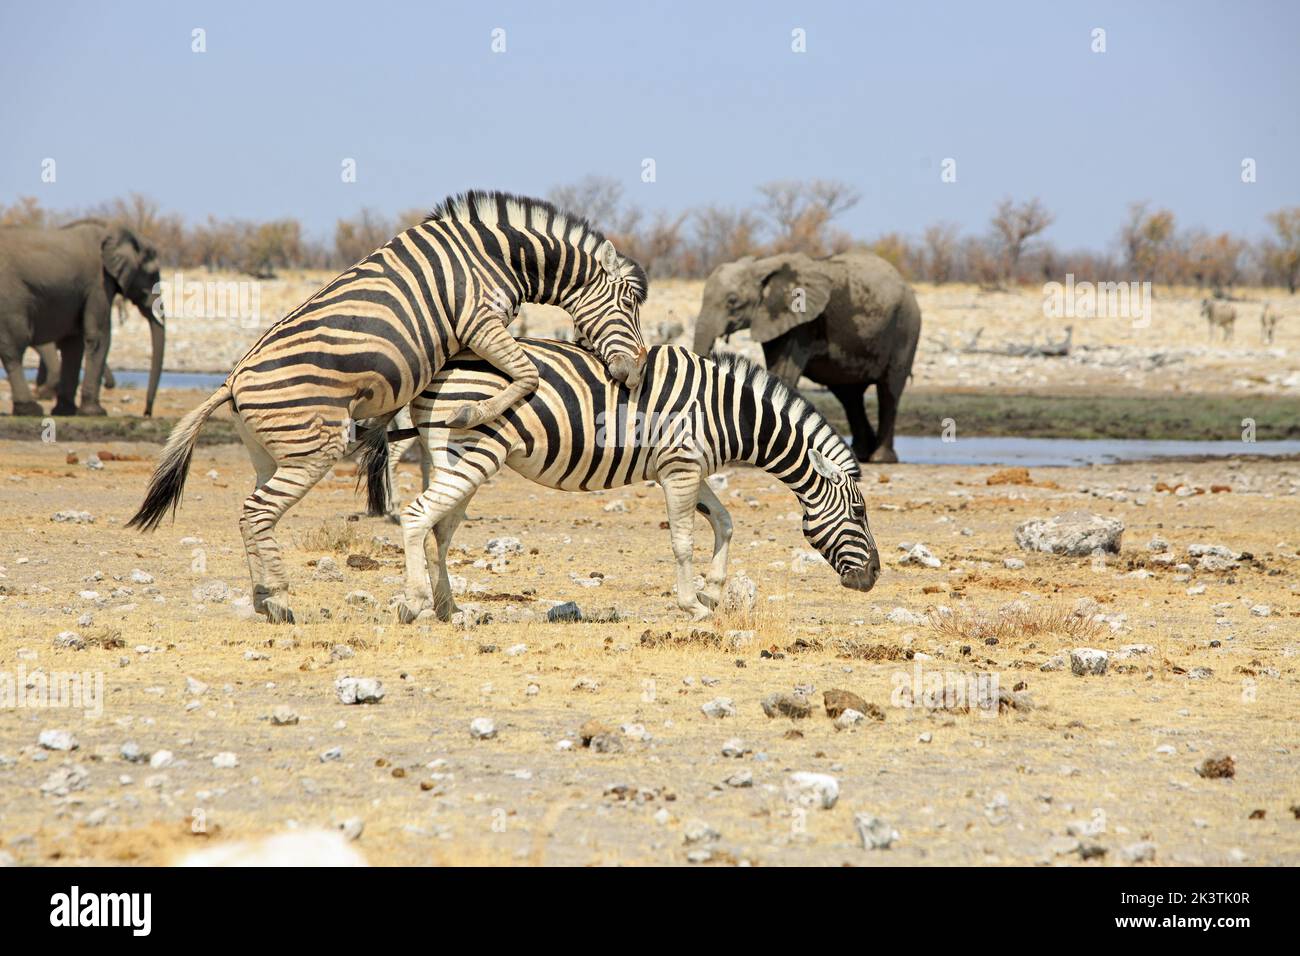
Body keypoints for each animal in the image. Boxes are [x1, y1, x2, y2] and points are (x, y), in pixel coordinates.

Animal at [0, 223, 165, 418]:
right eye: (152, 274)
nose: (147, 412)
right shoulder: (98, 283)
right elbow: (99, 336)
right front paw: (95, 412)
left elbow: (74, 343)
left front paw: (65, 411)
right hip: (11, 296)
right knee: (15, 346)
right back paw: (29, 409)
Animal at [131, 191, 650, 624]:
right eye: (628, 306)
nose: (637, 373)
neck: (496, 255)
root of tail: (232, 381)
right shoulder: (479, 321)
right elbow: (528, 374)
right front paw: (473, 413)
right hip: (311, 448)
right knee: (257, 512)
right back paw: (276, 597)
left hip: (271, 454)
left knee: (254, 513)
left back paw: (264, 596)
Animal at [361, 340, 878, 624]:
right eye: (859, 512)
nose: (873, 577)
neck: (729, 413)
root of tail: (440, 367)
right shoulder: (680, 468)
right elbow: (684, 541)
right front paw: (693, 606)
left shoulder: (687, 467)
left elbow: (726, 522)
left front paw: (713, 590)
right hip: (472, 453)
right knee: (417, 517)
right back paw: (414, 603)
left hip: (452, 457)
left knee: (441, 530)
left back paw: (450, 609)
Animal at [696, 251, 920, 463]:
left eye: (732, 301)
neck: (762, 264)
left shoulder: (803, 322)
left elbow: (783, 371)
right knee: (850, 397)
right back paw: (860, 454)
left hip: (905, 330)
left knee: (888, 391)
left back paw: (880, 458)